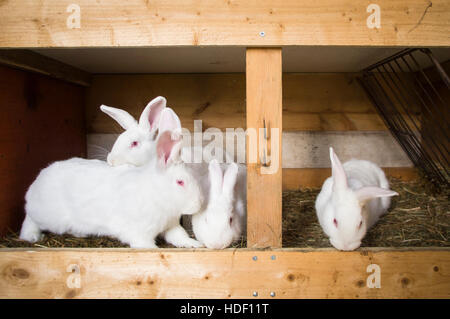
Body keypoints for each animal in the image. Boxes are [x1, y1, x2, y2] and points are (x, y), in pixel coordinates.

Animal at [19, 131, 204, 249]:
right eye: (180, 182)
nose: (199, 203)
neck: (157, 195)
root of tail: (38, 181)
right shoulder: (139, 233)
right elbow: (146, 245)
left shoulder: (171, 225)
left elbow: (180, 236)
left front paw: (195, 244)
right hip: (47, 216)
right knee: (29, 217)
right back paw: (31, 236)